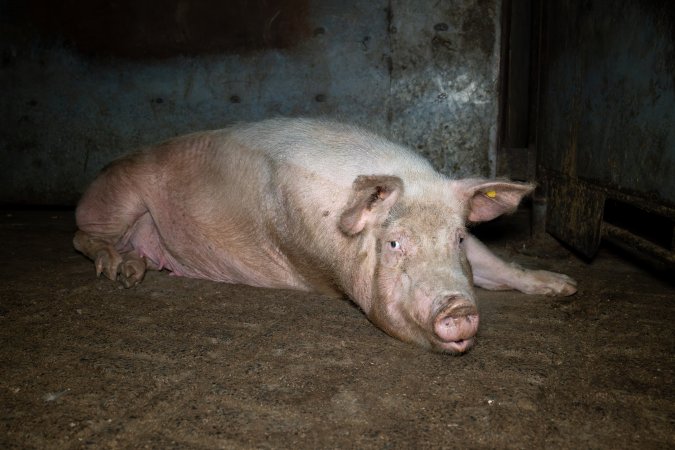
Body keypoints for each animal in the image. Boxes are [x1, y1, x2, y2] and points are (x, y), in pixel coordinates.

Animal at [76, 118, 580, 356]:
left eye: (456, 239)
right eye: (394, 243)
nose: (457, 308)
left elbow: (496, 263)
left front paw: (567, 287)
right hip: (116, 198)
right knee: (83, 237)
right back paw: (121, 272)